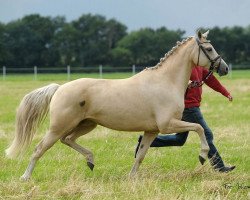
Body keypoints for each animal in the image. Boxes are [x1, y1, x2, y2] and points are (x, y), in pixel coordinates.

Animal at [5, 30, 229, 180]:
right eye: (209, 48)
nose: (224, 68)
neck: (165, 82)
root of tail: (59, 88)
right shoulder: (168, 124)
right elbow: (199, 128)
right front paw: (202, 155)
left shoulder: (152, 130)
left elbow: (141, 154)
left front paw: (132, 178)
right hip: (59, 126)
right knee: (39, 148)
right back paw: (25, 177)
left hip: (86, 124)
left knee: (67, 140)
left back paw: (91, 161)